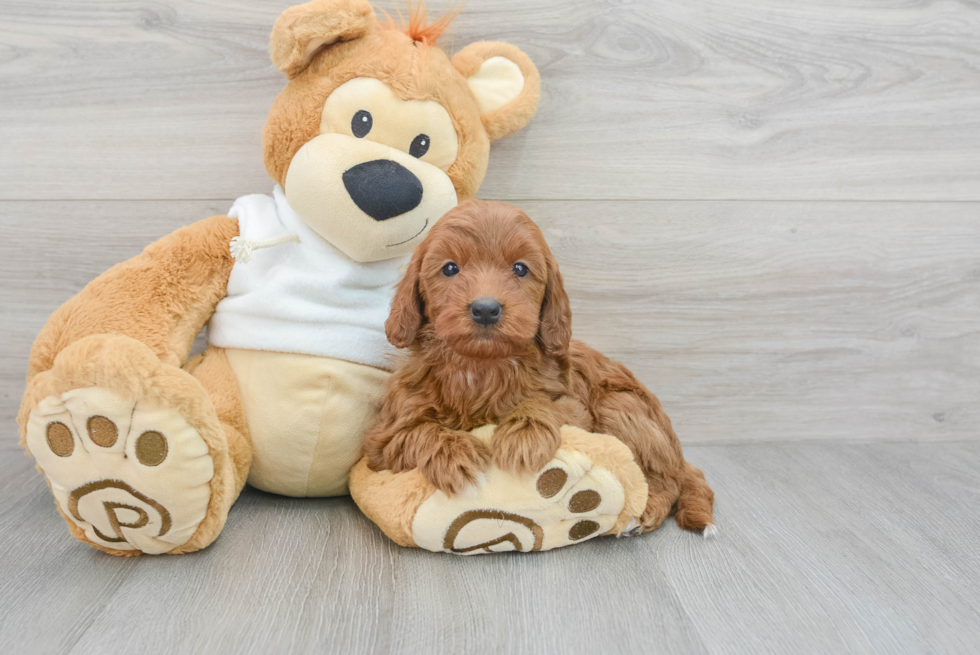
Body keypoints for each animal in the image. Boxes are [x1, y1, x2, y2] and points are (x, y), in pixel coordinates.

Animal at [364, 202, 716, 536]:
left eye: (520, 268)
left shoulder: (576, 409)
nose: (486, 309)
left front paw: (523, 436)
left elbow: (542, 404)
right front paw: (455, 456)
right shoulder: (384, 439)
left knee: (670, 477)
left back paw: (646, 511)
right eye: (450, 268)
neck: (482, 365)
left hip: (621, 406)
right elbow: (419, 431)